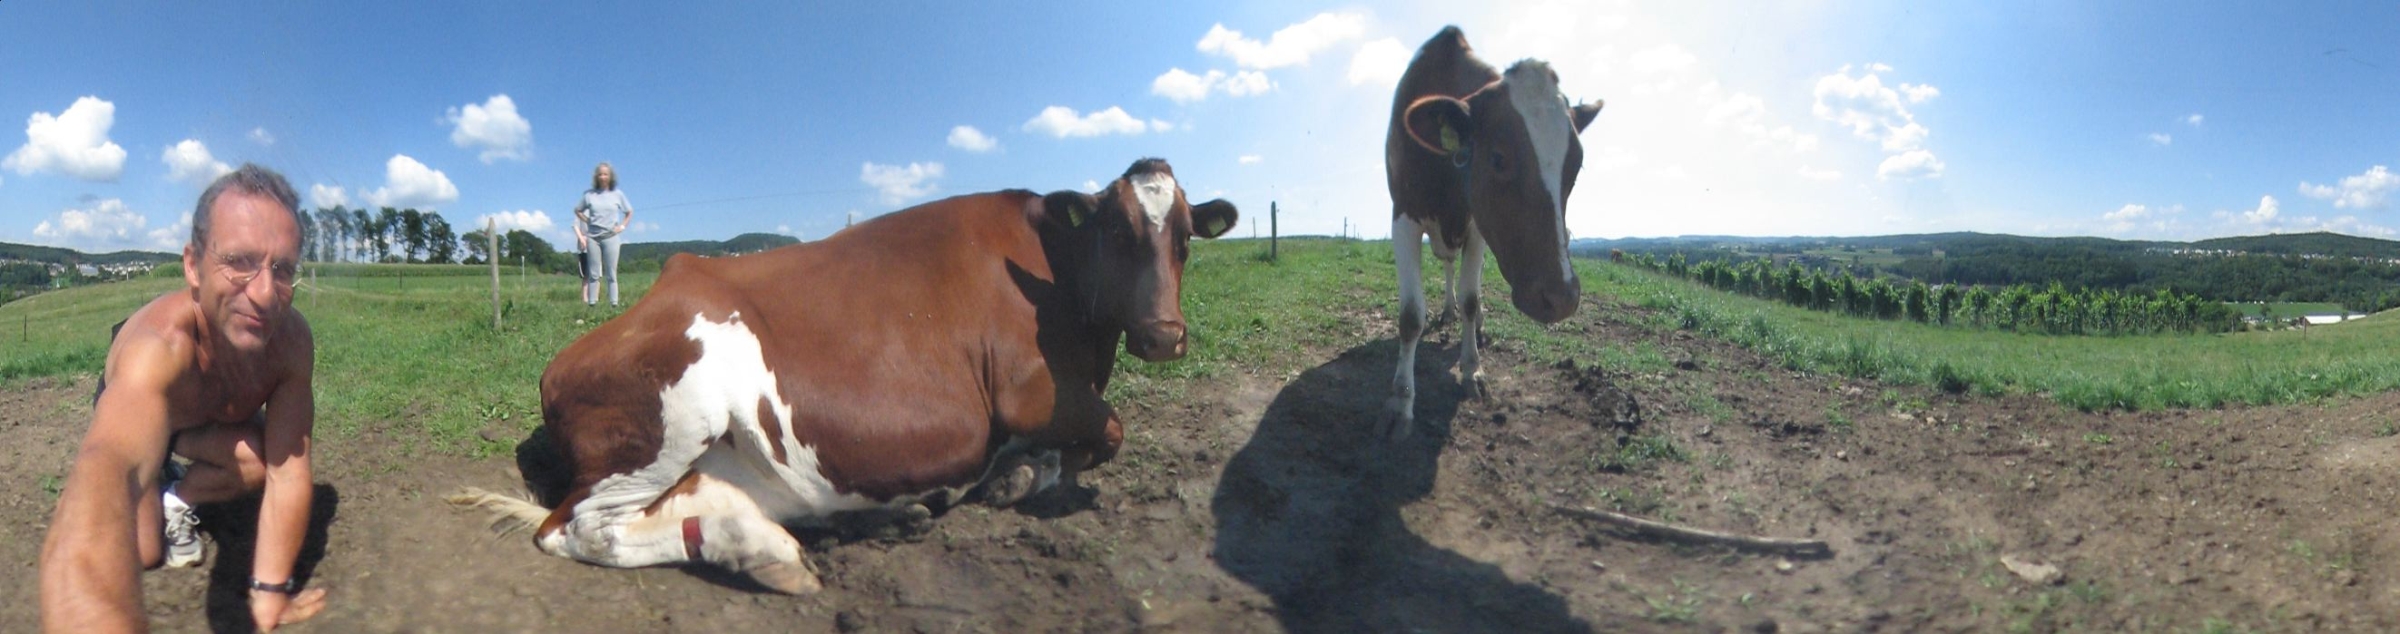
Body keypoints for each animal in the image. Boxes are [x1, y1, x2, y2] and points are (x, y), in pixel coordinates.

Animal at [452, 158, 1236, 594]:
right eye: (1116, 230)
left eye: (1186, 237)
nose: (1165, 336)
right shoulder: (1033, 393)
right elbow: (1109, 432)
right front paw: (1019, 475)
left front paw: (1012, 472)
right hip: (672, 418)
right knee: (579, 530)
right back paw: (782, 548)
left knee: (701, 506)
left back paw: (814, 533)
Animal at [1383, 26, 1603, 439]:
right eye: (1498, 157)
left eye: (1576, 166)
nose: (1562, 297)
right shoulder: (1403, 216)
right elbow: (1411, 316)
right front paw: (1401, 403)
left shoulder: (1476, 226)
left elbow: (1472, 299)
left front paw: (1473, 369)